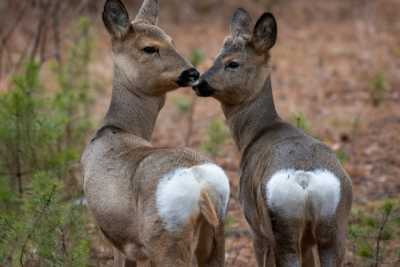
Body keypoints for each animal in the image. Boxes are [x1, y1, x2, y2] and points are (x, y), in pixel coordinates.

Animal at [81, 1, 230, 266]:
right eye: (149, 48)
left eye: (172, 41)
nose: (192, 73)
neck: (117, 128)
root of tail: (202, 188)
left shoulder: (119, 242)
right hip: (216, 238)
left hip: (164, 239)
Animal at [194, 8, 354, 267]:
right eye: (216, 57)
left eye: (233, 63)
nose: (199, 83)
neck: (256, 133)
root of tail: (305, 180)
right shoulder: (308, 241)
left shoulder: (254, 225)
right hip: (334, 226)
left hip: (281, 224)